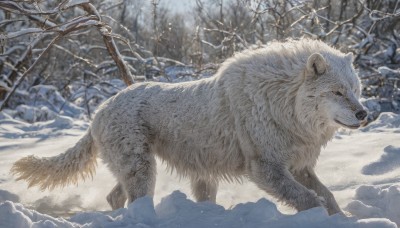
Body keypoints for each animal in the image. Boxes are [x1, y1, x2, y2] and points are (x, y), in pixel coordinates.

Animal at [10, 38, 368, 215]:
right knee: (135, 200)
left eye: (355, 89)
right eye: (337, 92)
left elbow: (328, 197)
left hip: (136, 169)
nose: (365, 114)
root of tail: (99, 110)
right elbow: (311, 200)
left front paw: (344, 219)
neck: (283, 102)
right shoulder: (266, 169)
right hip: (143, 169)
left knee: (115, 197)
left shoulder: (298, 166)